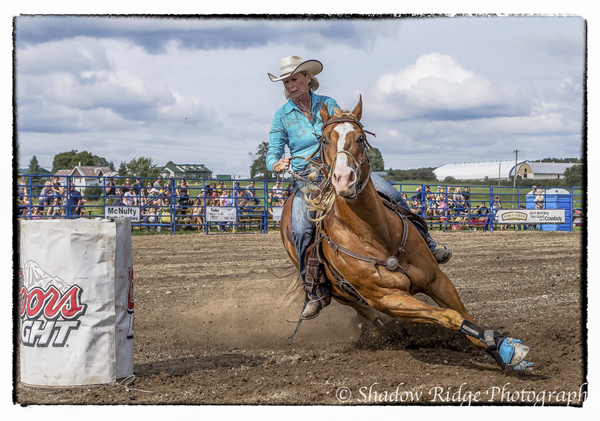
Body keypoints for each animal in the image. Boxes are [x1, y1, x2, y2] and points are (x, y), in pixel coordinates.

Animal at [278, 97, 532, 370]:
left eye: (360, 138)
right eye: (324, 140)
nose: (344, 179)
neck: (376, 236)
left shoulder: (436, 280)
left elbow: (465, 316)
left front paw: (500, 349)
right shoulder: (389, 299)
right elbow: (450, 317)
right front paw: (503, 345)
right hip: (339, 293)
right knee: (362, 310)